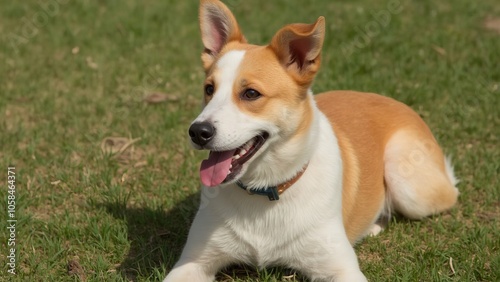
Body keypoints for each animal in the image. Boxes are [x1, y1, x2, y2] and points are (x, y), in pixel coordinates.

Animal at [163, 1, 458, 280]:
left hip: (409, 185)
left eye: (251, 94)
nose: (197, 132)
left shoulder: (342, 269)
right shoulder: (193, 263)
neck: (267, 189)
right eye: (209, 89)